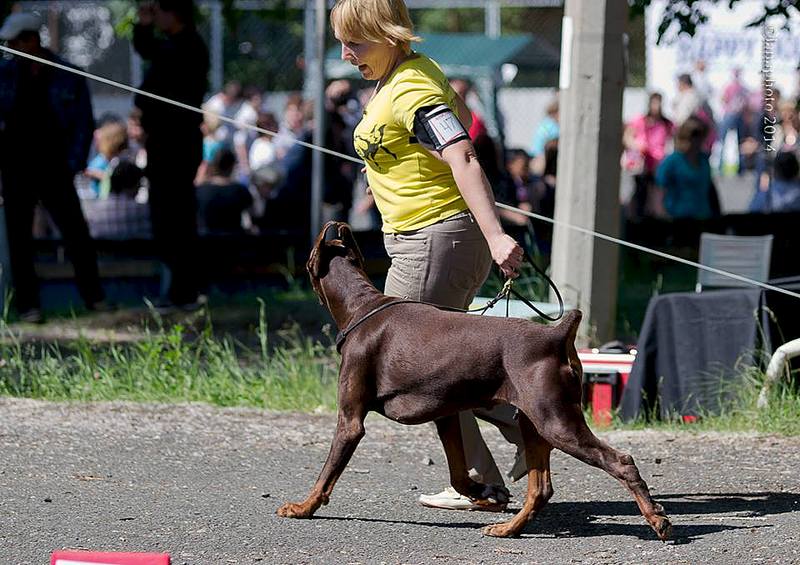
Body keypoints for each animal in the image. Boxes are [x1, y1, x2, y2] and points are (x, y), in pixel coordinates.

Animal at [278, 223, 672, 540]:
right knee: (540, 489)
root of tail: (557, 333)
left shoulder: (351, 419)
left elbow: (326, 473)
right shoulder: (446, 413)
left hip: (556, 422)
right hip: (534, 423)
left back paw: (657, 520)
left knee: (620, 461)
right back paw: (508, 528)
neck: (362, 307)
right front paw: (485, 492)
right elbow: (458, 472)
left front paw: (302, 507)